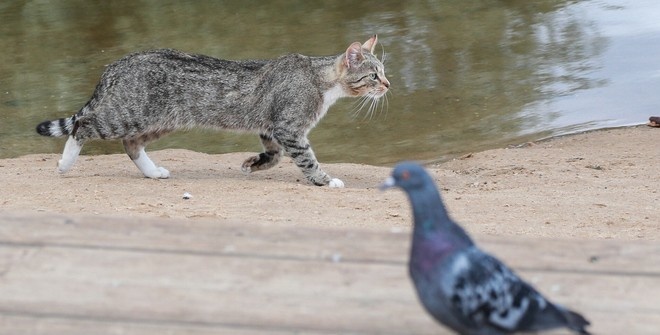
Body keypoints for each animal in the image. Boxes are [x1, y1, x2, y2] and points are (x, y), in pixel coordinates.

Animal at [36, 35, 390, 188]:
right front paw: (323, 180)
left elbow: (274, 156)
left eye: (383, 72)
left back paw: (152, 172)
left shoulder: (270, 128)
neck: (320, 78)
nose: (388, 85)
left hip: (160, 120)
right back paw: (65, 163)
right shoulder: (289, 129)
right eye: (373, 75)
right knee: (82, 125)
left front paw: (253, 164)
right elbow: (306, 159)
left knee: (131, 145)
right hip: (125, 115)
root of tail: (115, 65)